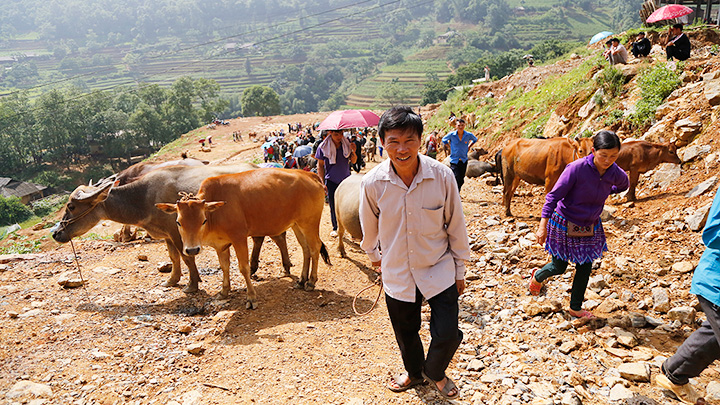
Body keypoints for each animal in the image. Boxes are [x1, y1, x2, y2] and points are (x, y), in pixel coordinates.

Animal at [156, 169, 330, 308]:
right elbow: (224, 266)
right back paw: (301, 280)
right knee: (306, 249)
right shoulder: (221, 245)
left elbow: (243, 268)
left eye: (203, 220)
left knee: (315, 247)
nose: (192, 249)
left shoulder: (239, 238)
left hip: (309, 222)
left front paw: (251, 297)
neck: (215, 215)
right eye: (178, 222)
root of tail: (310, 174)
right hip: (296, 225)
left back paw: (311, 281)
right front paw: (224, 291)